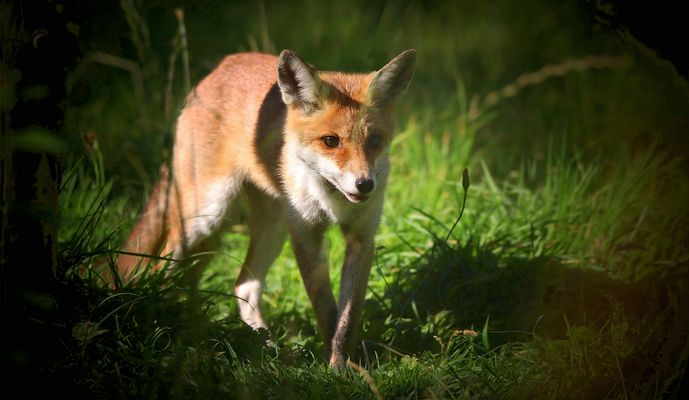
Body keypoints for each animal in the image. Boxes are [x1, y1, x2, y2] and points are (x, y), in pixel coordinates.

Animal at [116, 49, 416, 367]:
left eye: (375, 141)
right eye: (330, 141)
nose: (365, 185)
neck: (332, 201)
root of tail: (223, 65)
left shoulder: (362, 237)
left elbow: (347, 317)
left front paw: (346, 363)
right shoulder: (306, 236)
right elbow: (326, 310)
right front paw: (335, 368)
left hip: (273, 228)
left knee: (243, 285)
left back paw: (266, 347)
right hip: (203, 219)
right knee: (160, 270)